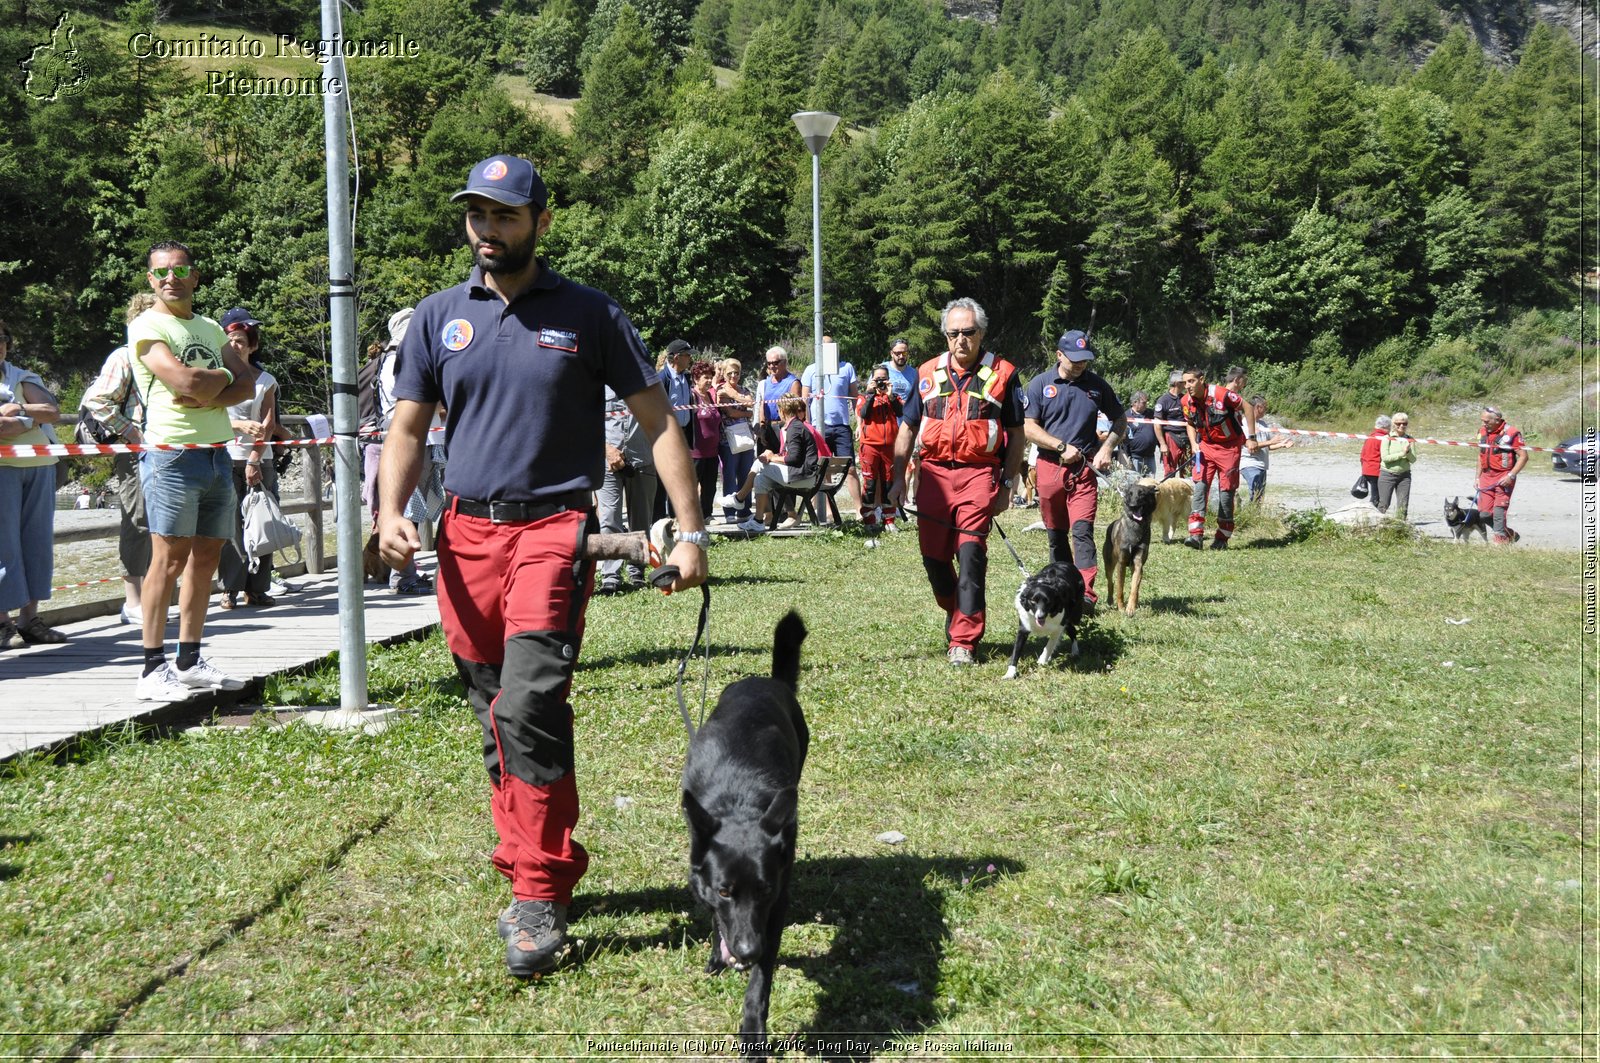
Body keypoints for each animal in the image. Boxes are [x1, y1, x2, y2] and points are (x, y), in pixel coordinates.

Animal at [1107, 480, 1158, 614]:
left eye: (1142, 494)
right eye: (1130, 494)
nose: (1133, 506)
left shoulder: (1138, 563)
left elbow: (1134, 588)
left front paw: (1130, 608)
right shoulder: (1121, 563)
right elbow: (1120, 588)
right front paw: (1121, 608)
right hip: (1109, 565)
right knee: (1110, 582)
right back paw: (1110, 600)